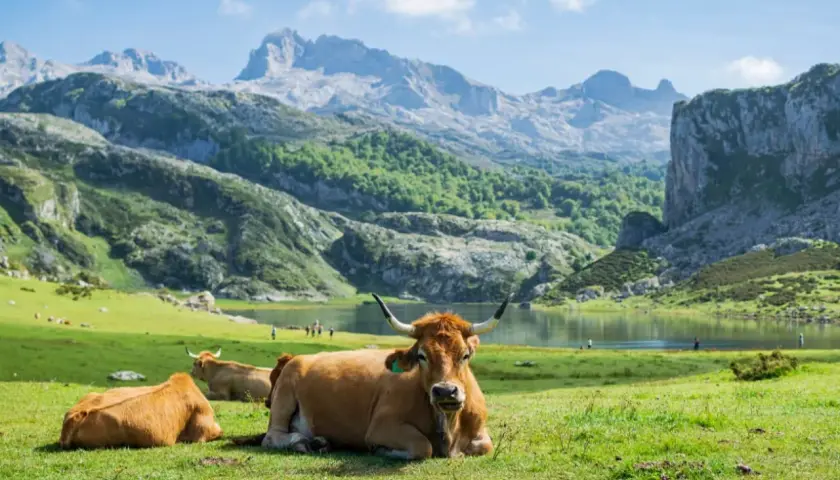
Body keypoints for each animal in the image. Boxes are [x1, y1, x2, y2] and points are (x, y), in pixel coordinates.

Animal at [261, 293, 510, 460]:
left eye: (465, 354)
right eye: (422, 356)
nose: (445, 391)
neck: (449, 428)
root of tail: (296, 358)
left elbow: (485, 446)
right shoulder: (381, 426)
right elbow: (422, 447)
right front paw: (383, 450)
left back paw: (320, 442)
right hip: (283, 399)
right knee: (272, 437)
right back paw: (304, 443)